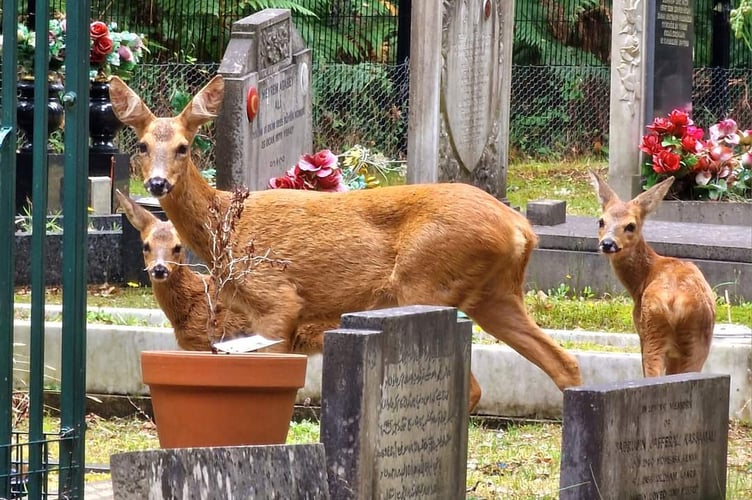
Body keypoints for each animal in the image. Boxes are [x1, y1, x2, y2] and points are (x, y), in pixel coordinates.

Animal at [592, 172, 712, 376]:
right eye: (601, 221)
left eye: (630, 226)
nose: (607, 243)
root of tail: (677, 302)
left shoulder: (640, 328)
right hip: (698, 342)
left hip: (653, 327)